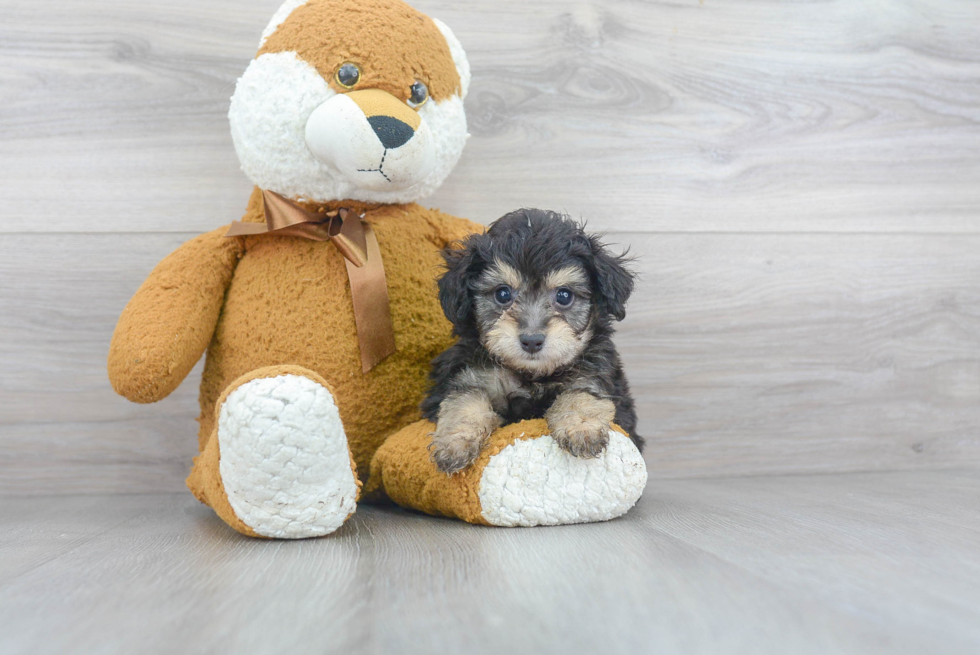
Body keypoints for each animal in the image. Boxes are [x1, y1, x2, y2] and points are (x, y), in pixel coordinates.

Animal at [422, 210, 644, 476]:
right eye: (503, 294)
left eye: (564, 296)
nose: (531, 340)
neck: (532, 374)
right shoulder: (467, 372)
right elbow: (464, 399)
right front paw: (455, 443)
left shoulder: (593, 373)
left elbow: (581, 394)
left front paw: (581, 429)